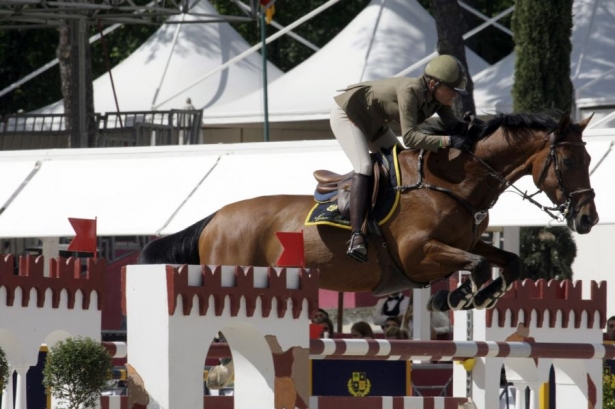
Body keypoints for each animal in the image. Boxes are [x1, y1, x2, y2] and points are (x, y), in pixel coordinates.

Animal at [140, 111, 596, 310]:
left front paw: (482, 298)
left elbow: (508, 261)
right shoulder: (419, 253)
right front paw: (455, 298)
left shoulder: (470, 242)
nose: (587, 218)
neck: (451, 184)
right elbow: (477, 265)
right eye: (568, 160)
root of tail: (213, 220)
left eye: (590, 158)